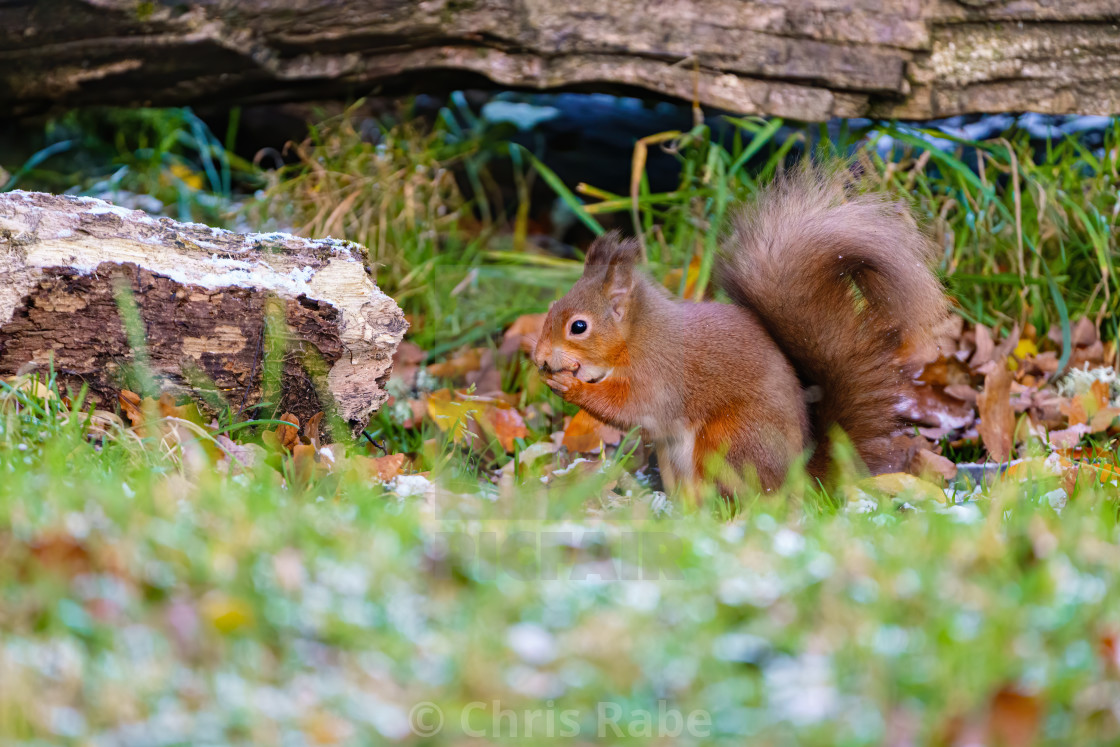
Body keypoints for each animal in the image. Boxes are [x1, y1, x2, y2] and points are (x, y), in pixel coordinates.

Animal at [530, 166, 945, 497]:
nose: (538, 357)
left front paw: (570, 386)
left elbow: (630, 407)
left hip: (728, 442)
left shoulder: (659, 375)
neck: (637, 337)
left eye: (578, 326)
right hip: (675, 457)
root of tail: (797, 479)